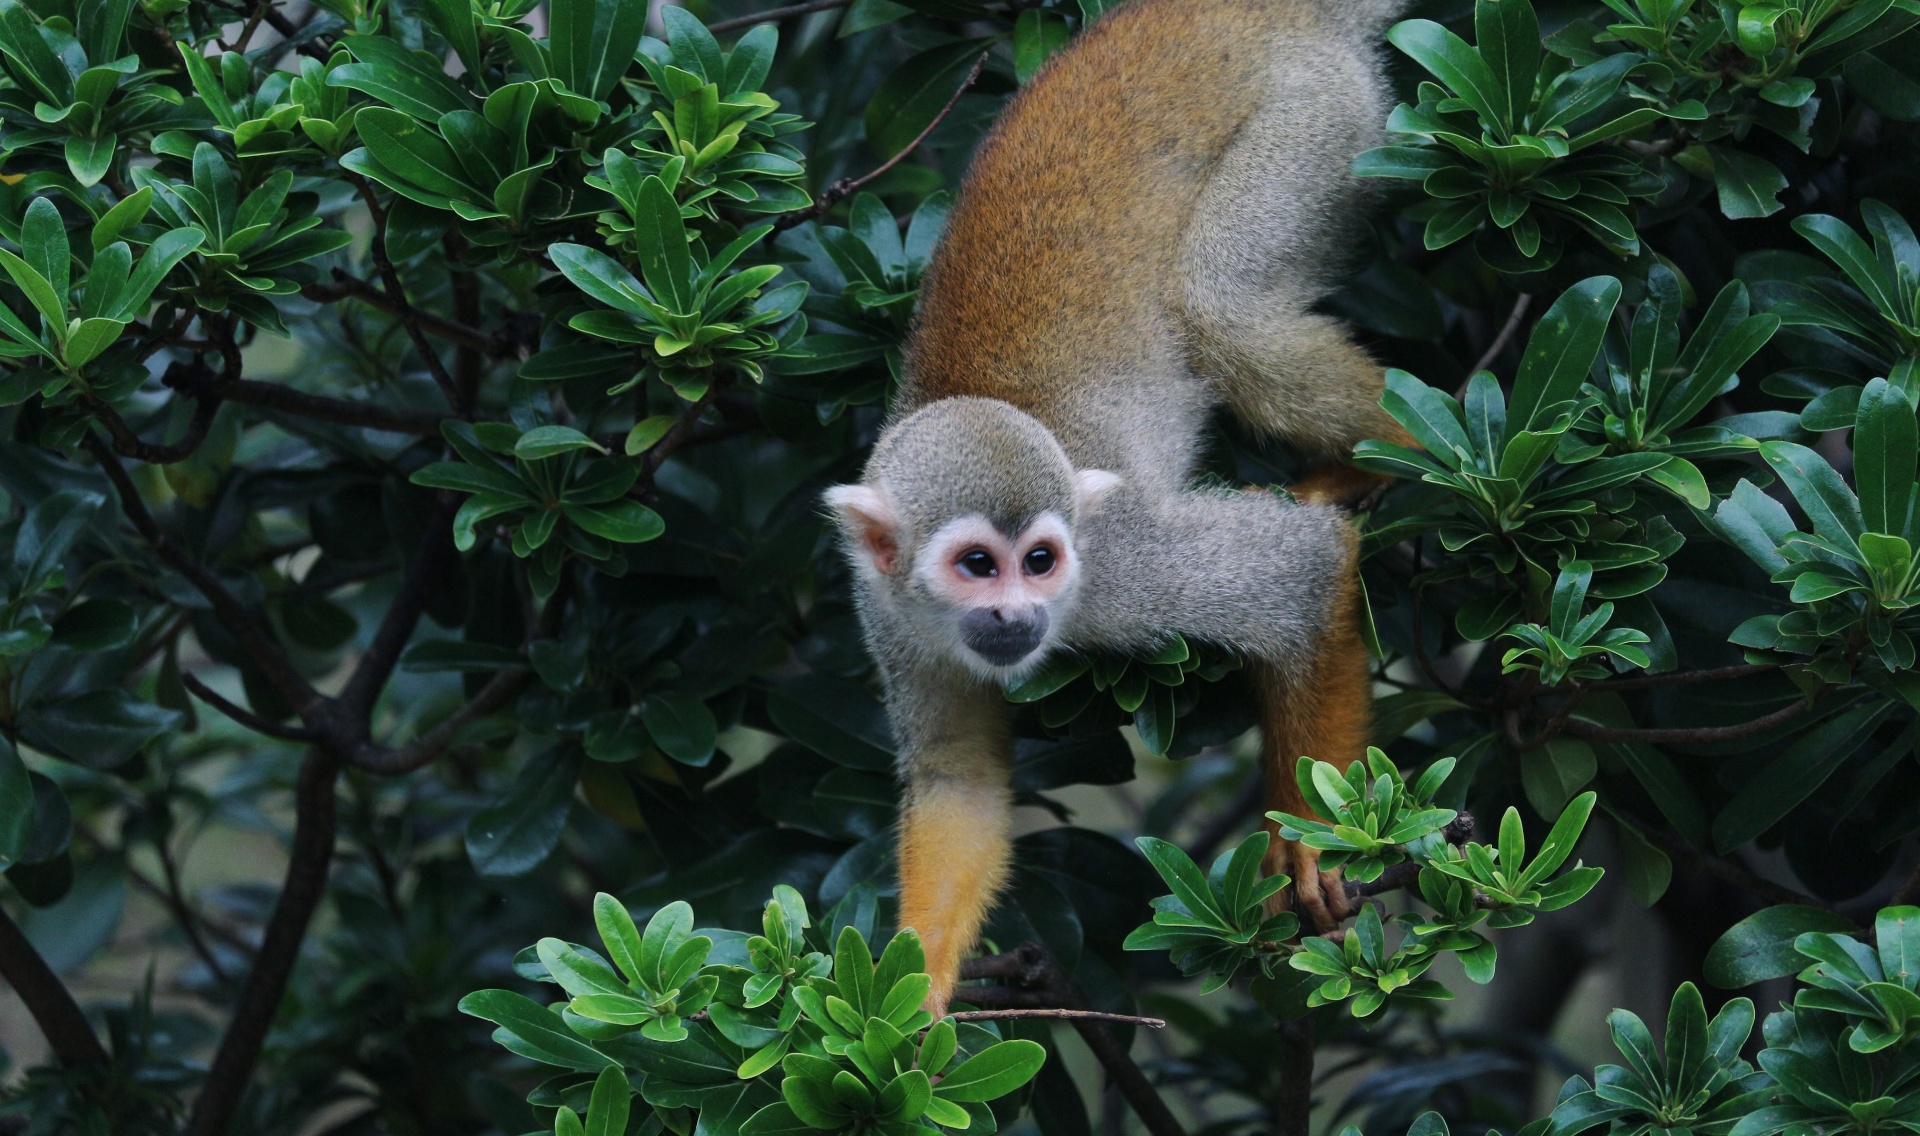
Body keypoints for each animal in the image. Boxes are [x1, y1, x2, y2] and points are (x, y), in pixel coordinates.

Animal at [823, 0, 1415, 1014]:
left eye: (1043, 560)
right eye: (975, 566)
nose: (1016, 616)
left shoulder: (1123, 570)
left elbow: (1305, 572)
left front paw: (1313, 838)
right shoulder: (887, 612)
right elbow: (959, 781)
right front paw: (912, 990)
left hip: (1314, 121)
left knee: (1221, 309)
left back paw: (1415, 457)